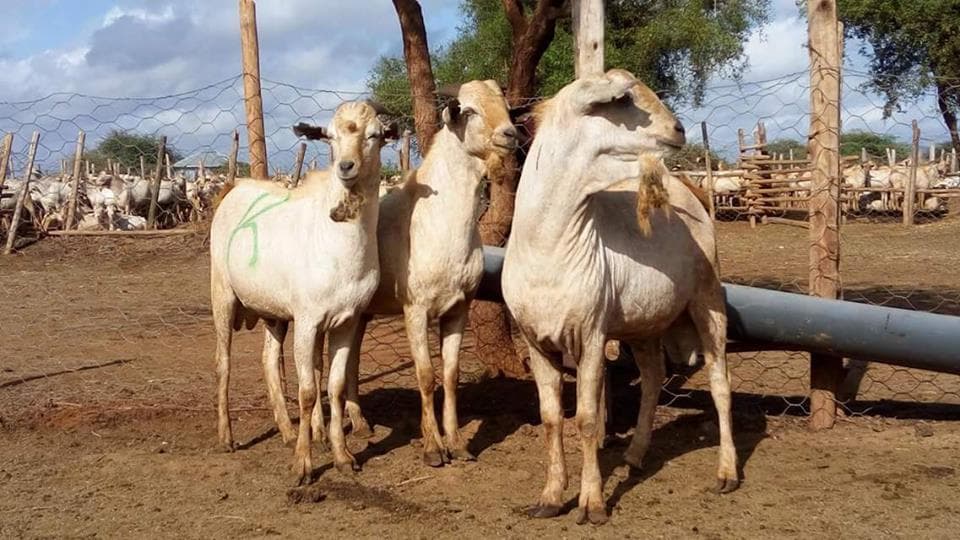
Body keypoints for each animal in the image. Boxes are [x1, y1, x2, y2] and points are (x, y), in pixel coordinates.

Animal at [209, 100, 397, 485]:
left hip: (273, 310)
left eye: (375, 135)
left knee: (268, 360)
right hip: (221, 291)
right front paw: (303, 466)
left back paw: (285, 430)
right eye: (329, 138)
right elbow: (308, 390)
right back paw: (227, 437)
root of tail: (235, 187)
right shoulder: (308, 320)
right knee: (223, 363)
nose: (346, 167)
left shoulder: (348, 320)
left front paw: (343, 457)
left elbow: (335, 387)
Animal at [502, 69, 736, 525]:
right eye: (625, 98)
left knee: (720, 383)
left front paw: (592, 503)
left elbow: (588, 420)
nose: (679, 130)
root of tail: (687, 189)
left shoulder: (590, 335)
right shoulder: (536, 340)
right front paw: (551, 497)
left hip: (708, 299)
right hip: (644, 323)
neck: (547, 248)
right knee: (653, 379)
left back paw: (727, 473)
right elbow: (551, 418)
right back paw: (636, 455)